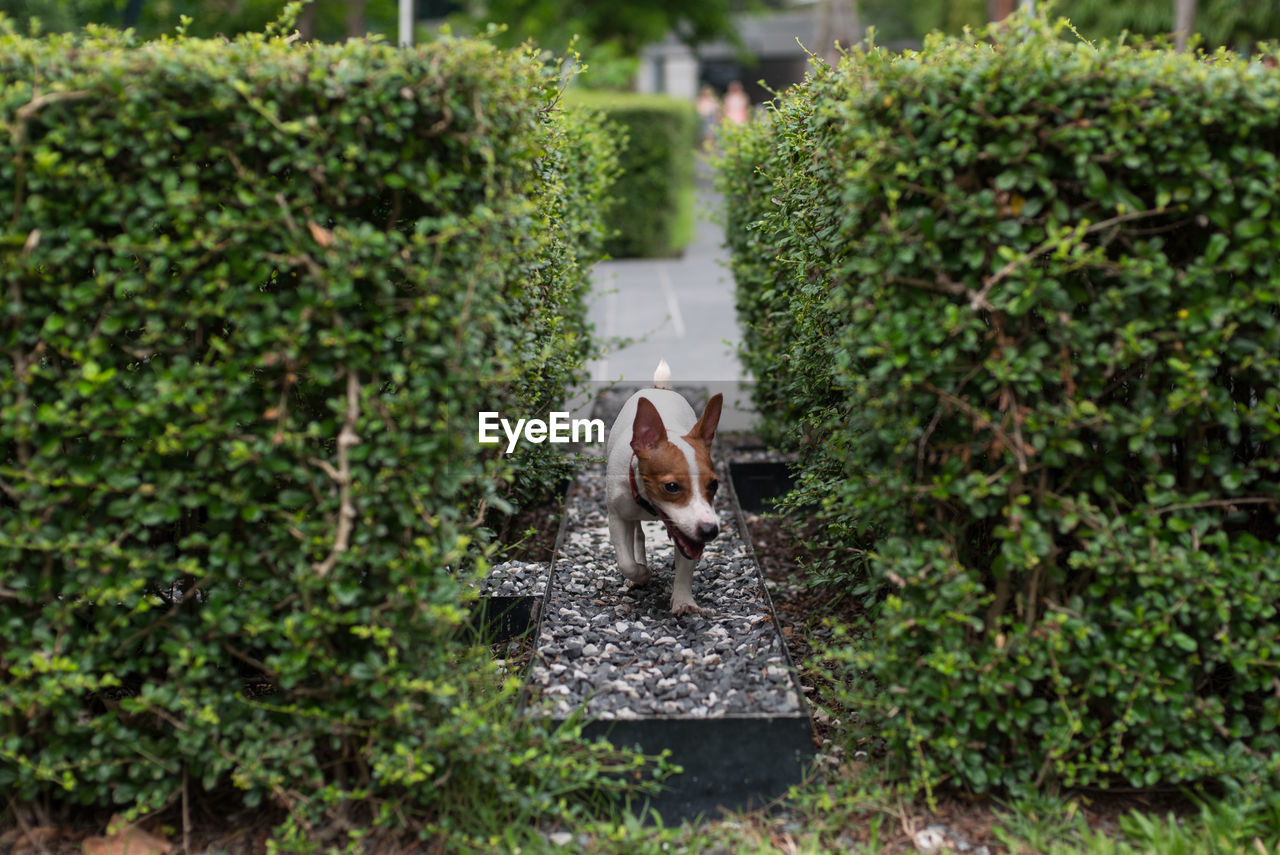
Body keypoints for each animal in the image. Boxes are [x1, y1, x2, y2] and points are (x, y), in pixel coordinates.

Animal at [606, 358, 727, 614]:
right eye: (671, 486)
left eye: (714, 484)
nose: (710, 530)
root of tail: (659, 388)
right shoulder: (617, 517)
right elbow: (625, 561)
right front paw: (641, 573)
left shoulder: (691, 528)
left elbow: (686, 564)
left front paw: (683, 600)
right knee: (638, 535)